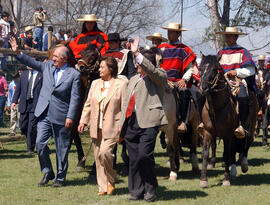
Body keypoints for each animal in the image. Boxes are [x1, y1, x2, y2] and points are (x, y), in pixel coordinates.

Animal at [198, 54, 258, 187]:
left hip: (250, 126)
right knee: (234, 149)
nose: (203, 88)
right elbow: (205, 153)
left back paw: (243, 165)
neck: (217, 107)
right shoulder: (208, 133)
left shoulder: (227, 134)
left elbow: (226, 155)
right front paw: (203, 180)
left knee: (247, 141)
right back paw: (234, 172)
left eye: (214, 69)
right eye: (200, 68)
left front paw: (226, 179)